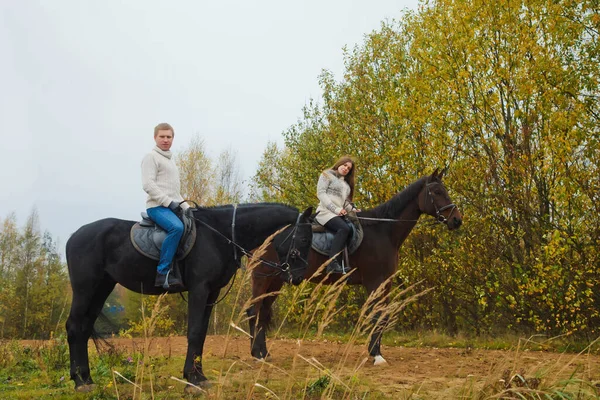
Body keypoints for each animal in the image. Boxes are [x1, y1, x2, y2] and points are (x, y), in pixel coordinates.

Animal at [65, 205, 312, 392]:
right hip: (85, 290)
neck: (220, 234)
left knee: (84, 329)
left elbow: (201, 333)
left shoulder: (212, 292)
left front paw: (198, 376)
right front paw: (192, 379)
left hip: (101, 289)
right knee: (74, 327)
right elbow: (193, 331)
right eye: (302, 239)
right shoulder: (199, 289)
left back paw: (86, 378)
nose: (298, 277)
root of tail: (74, 236)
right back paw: (79, 381)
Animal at [246, 170, 462, 364]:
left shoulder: (386, 283)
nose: (457, 220)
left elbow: (382, 317)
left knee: (263, 313)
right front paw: (376, 355)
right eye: (437, 192)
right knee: (254, 311)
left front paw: (376, 351)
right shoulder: (375, 281)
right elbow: (376, 316)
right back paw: (257, 354)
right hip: (262, 277)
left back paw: (264, 353)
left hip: (276, 281)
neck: (383, 230)